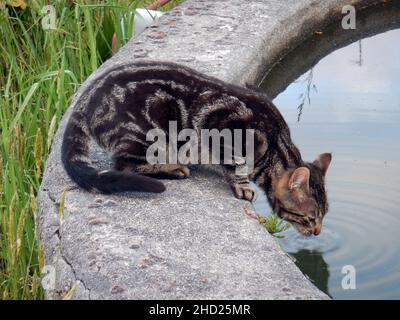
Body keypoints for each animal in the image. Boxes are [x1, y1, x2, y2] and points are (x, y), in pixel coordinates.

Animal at [61, 60, 332, 235]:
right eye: (311, 218)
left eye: (324, 215)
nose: (318, 232)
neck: (276, 145)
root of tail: (86, 98)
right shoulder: (223, 129)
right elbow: (234, 165)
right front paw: (243, 186)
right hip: (148, 134)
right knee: (125, 166)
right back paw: (172, 168)